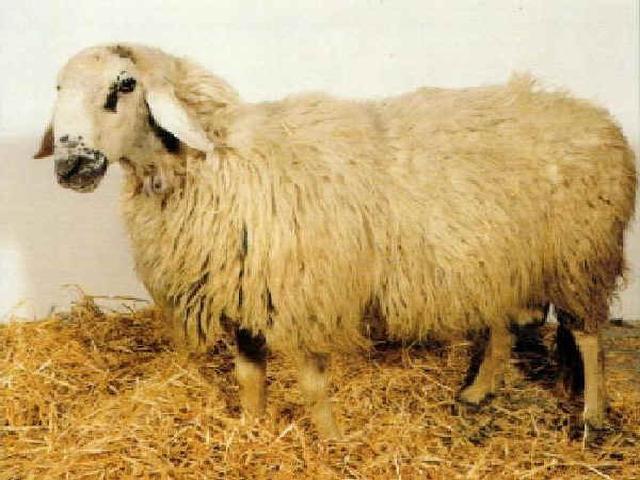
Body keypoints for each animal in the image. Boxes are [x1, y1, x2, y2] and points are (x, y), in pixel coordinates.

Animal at [35, 43, 637, 439]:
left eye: (125, 85)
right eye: (57, 89)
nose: (71, 166)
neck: (219, 162)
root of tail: (592, 114)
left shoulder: (302, 296)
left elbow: (310, 383)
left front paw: (329, 439)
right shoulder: (245, 293)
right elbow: (249, 373)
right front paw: (251, 429)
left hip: (582, 254)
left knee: (588, 338)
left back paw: (593, 415)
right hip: (498, 256)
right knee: (501, 326)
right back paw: (477, 391)